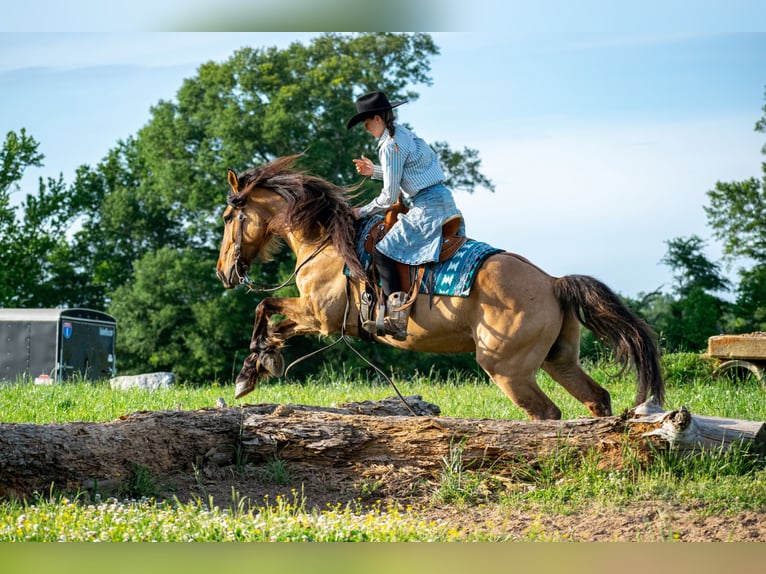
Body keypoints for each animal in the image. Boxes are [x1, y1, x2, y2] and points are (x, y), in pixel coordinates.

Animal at [216, 155, 664, 420]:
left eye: (226, 217)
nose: (223, 272)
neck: (325, 240)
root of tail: (553, 283)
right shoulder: (319, 318)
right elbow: (274, 321)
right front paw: (259, 365)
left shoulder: (321, 315)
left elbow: (264, 307)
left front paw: (251, 370)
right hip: (560, 360)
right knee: (596, 397)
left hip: (508, 370)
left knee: (547, 414)